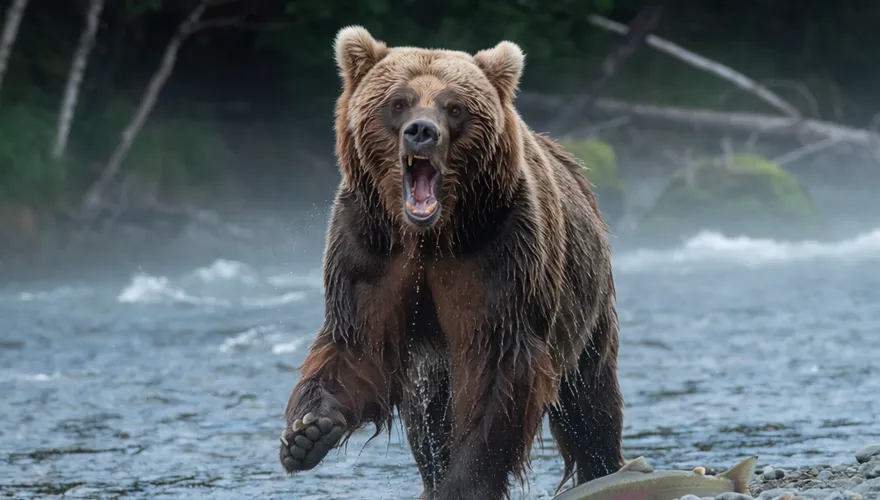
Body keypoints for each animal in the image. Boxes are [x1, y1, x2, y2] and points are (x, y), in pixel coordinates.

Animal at [279, 26, 626, 500]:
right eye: (399, 101)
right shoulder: (369, 250)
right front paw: (307, 432)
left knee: (590, 403)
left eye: (454, 106)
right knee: (428, 417)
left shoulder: (500, 253)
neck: (431, 235)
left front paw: (464, 482)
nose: (421, 131)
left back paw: (605, 468)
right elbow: (359, 344)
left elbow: (498, 371)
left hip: (586, 304)